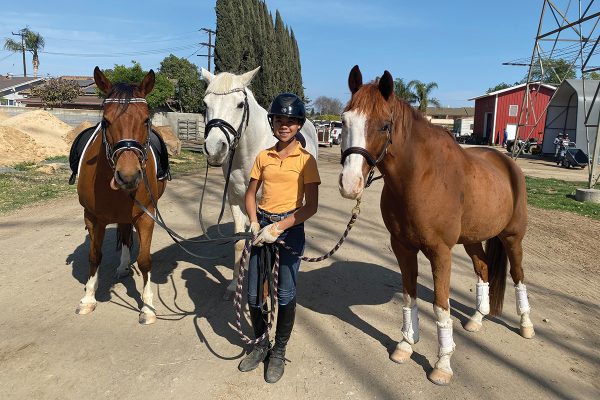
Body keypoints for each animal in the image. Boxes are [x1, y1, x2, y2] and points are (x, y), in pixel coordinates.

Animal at [77, 67, 169, 324]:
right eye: (105, 121)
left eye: (146, 120)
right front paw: (89, 298)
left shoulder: (146, 216)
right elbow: (94, 255)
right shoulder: (92, 218)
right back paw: (122, 267)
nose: (128, 176)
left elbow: (145, 260)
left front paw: (147, 307)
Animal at [200, 66, 318, 296]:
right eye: (205, 103)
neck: (248, 152)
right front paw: (233, 285)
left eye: (239, 104)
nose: (215, 149)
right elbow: (240, 242)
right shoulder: (236, 200)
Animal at [338, 65, 536, 384]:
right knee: (483, 269)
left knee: (519, 276)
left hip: (512, 238)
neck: (420, 177)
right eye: (344, 121)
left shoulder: (440, 252)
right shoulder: (402, 247)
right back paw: (477, 319)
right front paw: (405, 345)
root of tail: (508, 163)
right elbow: (409, 298)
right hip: (472, 239)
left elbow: (441, 308)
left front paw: (442, 366)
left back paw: (526, 325)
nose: (349, 184)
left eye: (384, 125)